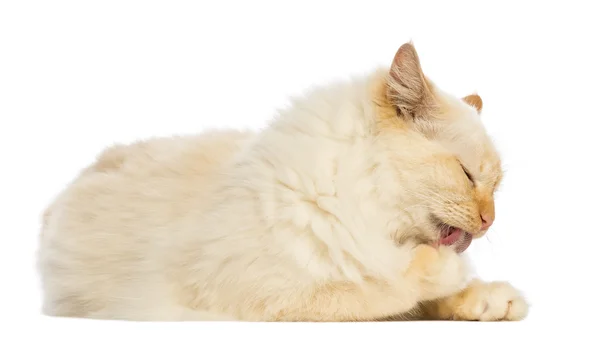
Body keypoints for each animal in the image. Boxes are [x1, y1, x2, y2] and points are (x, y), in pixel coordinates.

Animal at [37, 42, 528, 322]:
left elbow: (426, 295)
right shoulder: (271, 294)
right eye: (467, 175)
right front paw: (451, 275)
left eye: (495, 189)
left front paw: (491, 301)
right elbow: (386, 287)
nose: (489, 221)